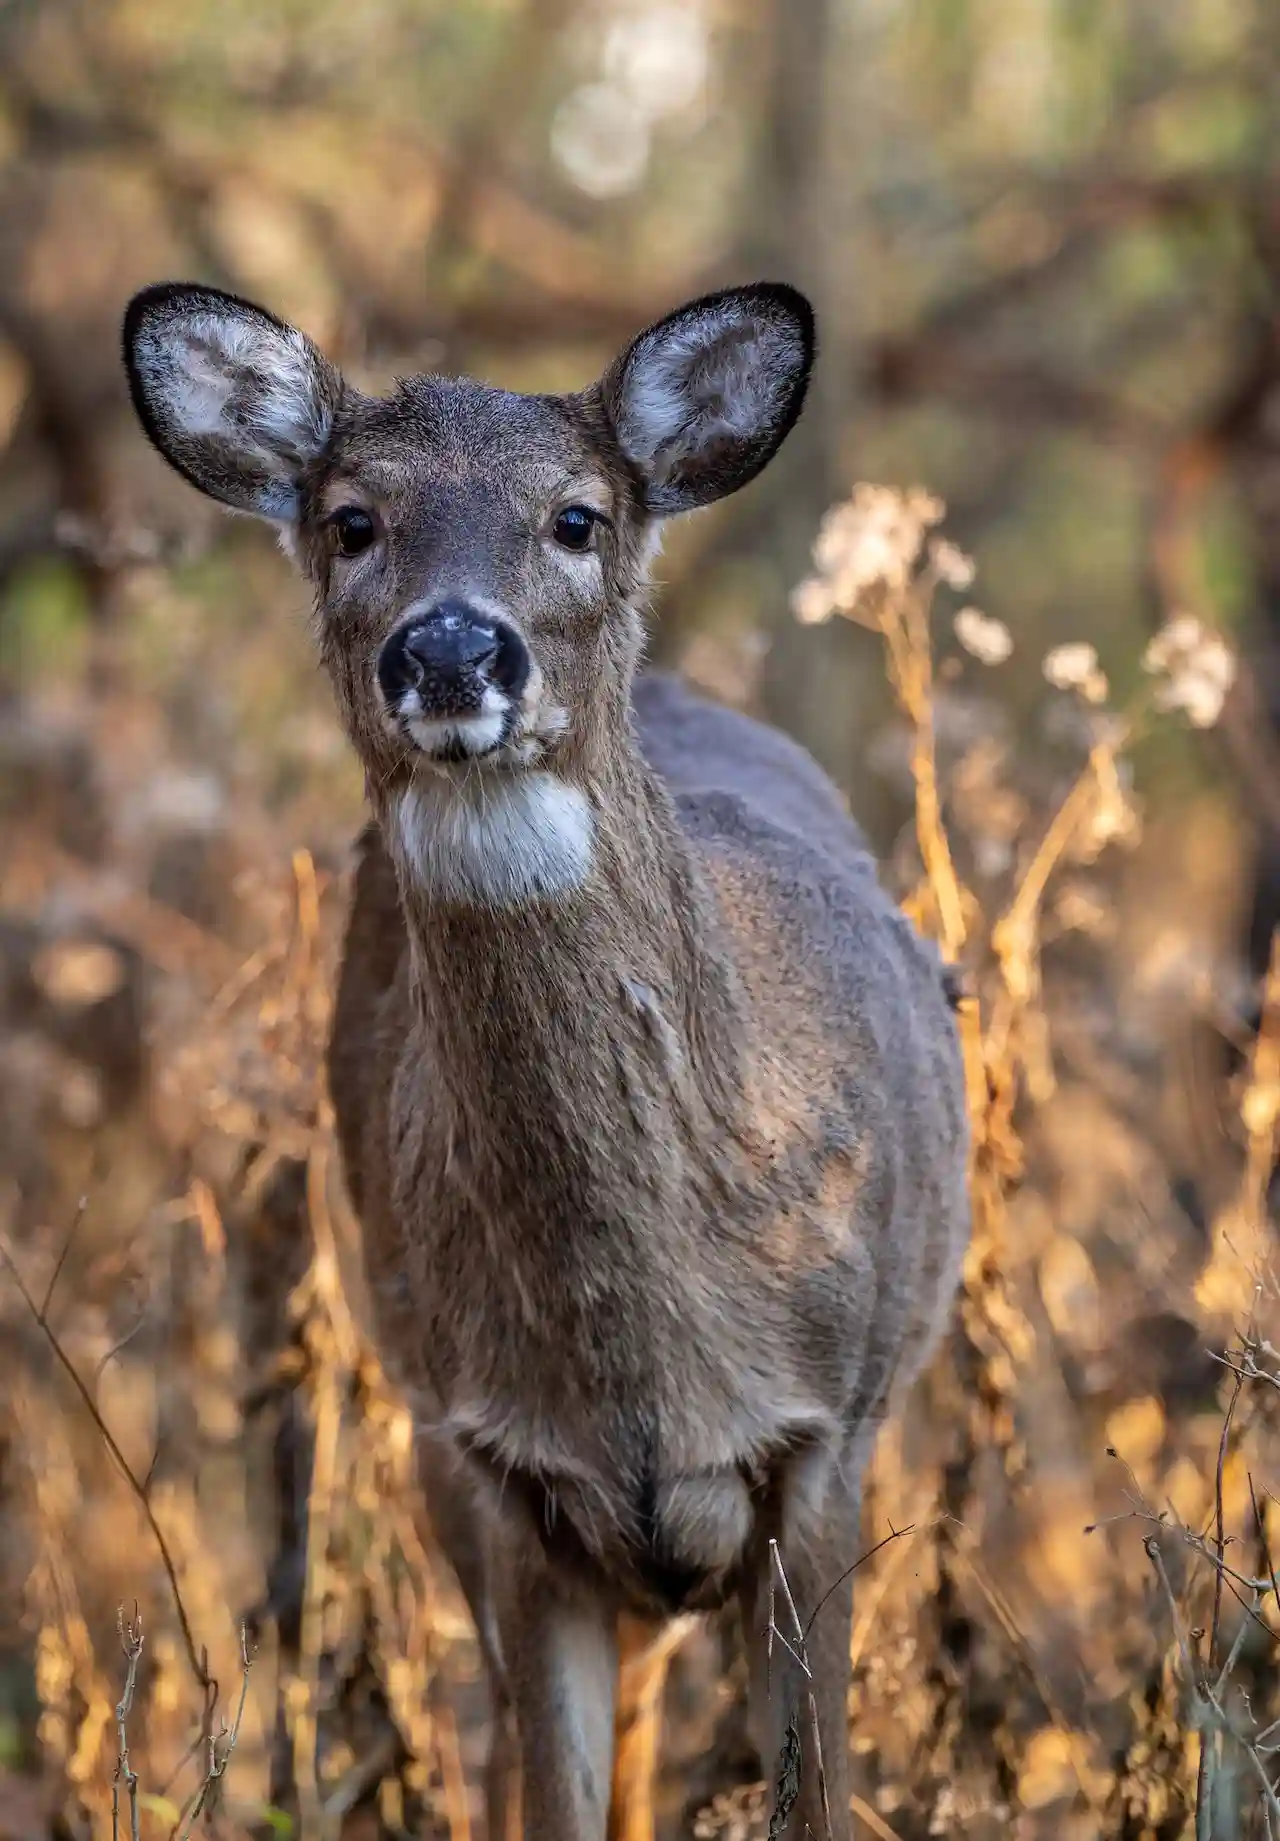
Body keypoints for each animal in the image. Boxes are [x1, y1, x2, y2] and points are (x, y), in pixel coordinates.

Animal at [125, 276, 972, 1841]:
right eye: (352, 518)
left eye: (576, 517)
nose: (454, 652)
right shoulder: (497, 1465)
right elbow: (552, 1797)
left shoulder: (832, 1425)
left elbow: (813, 1792)